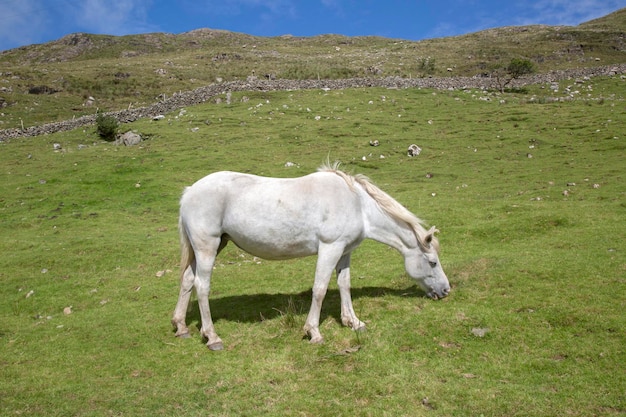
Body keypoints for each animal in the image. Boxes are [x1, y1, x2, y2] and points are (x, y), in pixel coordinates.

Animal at [171, 162, 448, 348]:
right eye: (432, 262)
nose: (446, 291)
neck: (358, 205)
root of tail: (189, 192)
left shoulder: (345, 251)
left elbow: (344, 284)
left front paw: (353, 322)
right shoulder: (330, 248)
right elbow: (320, 289)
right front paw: (313, 332)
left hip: (212, 247)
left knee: (187, 280)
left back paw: (181, 326)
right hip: (207, 248)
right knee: (201, 286)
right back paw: (212, 337)